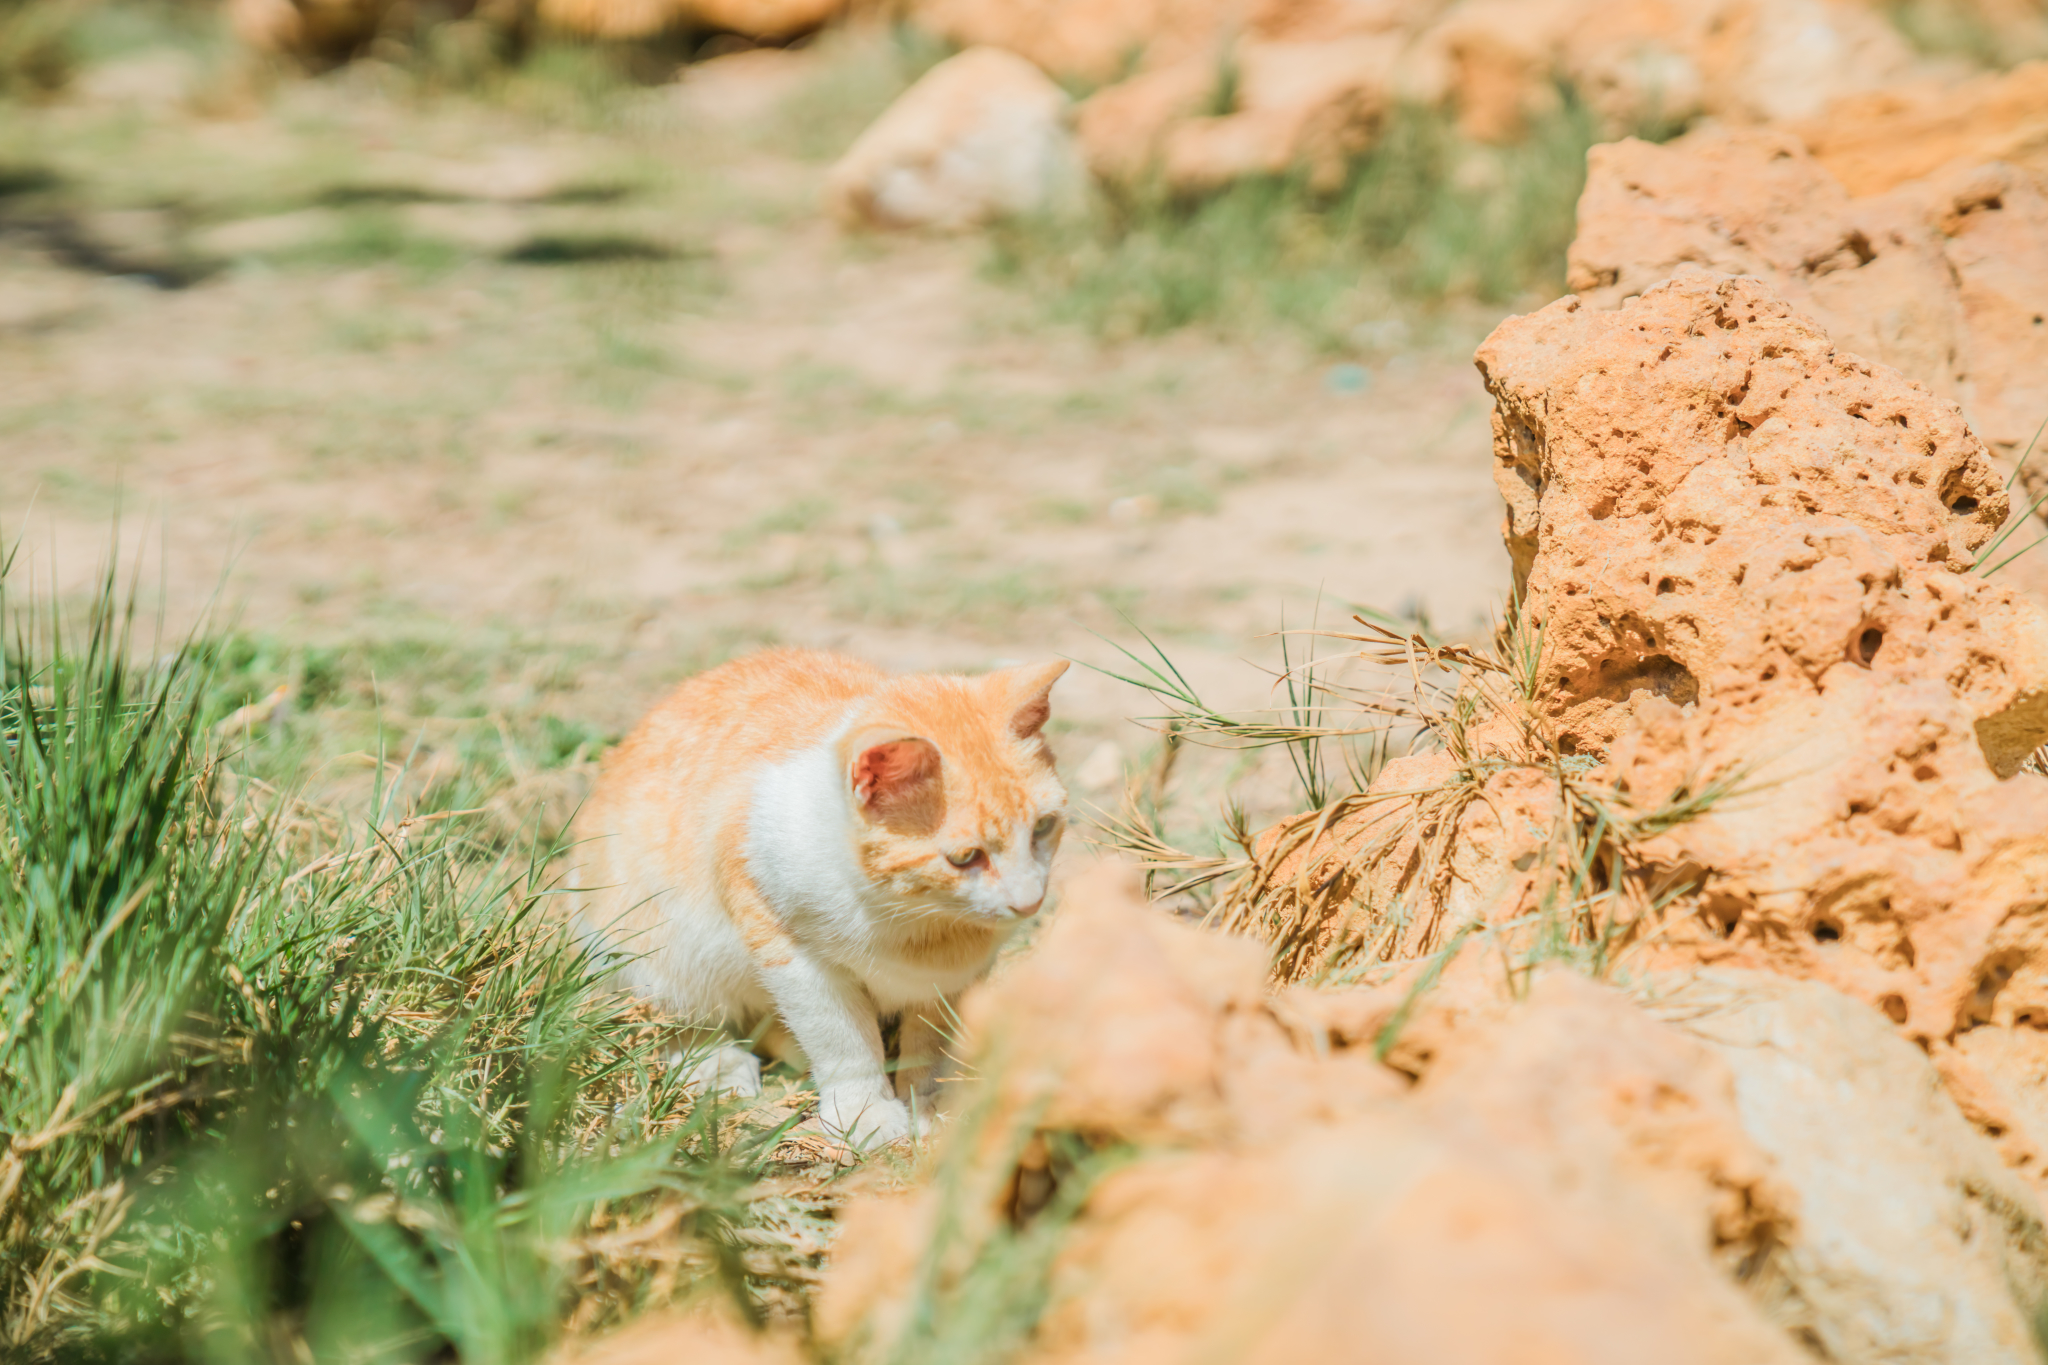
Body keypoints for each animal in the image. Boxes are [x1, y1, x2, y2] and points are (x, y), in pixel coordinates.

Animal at [565, 646, 1073, 1146]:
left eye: (1043, 827)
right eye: (965, 857)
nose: (1029, 902)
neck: (917, 924)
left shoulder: (961, 978)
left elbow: (933, 1041)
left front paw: (932, 1103)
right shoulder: (791, 954)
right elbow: (841, 1039)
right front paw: (865, 1111)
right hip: (654, 952)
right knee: (678, 1019)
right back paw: (719, 1064)